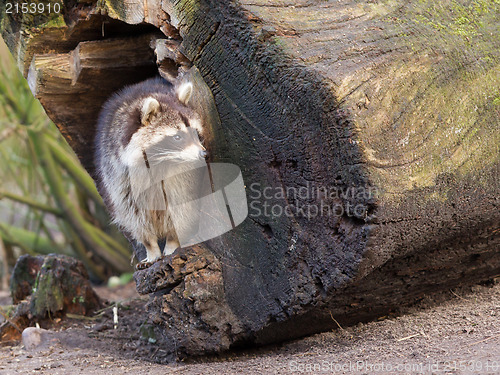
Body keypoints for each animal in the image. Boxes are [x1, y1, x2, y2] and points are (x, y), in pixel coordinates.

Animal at [94, 76, 208, 268]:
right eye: (177, 137)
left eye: (195, 133)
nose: (203, 154)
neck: (161, 162)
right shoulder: (119, 175)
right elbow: (133, 213)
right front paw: (151, 248)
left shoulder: (184, 175)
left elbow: (181, 205)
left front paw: (172, 242)